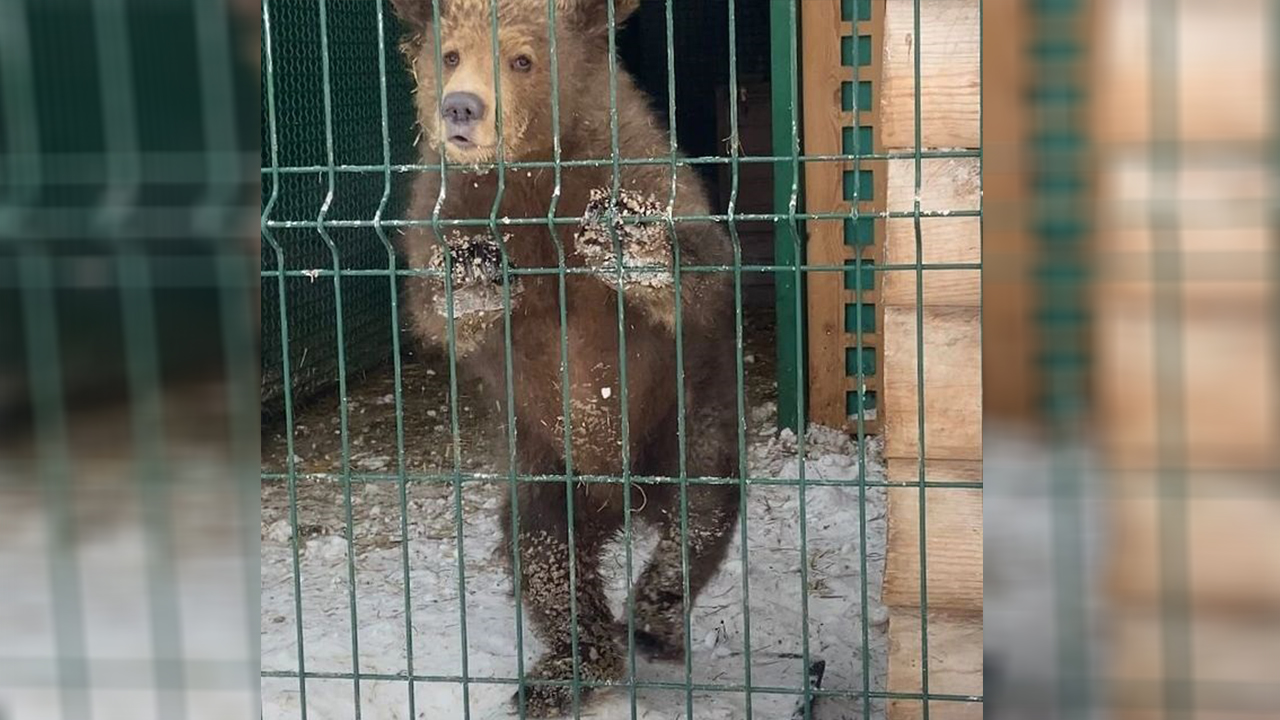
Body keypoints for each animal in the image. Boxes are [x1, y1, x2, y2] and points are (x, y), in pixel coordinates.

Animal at [389, 0, 742, 712]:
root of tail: (621, 499)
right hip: (545, 463)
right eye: (449, 53)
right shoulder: (445, 206)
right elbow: (436, 309)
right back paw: (571, 664)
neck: (531, 174)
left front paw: (626, 239)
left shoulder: (633, 161)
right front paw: (473, 273)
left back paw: (653, 618)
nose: (462, 107)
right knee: (542, 545)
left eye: (523, 58)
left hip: (681, 421)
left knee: (701, 509)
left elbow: (702, 260)